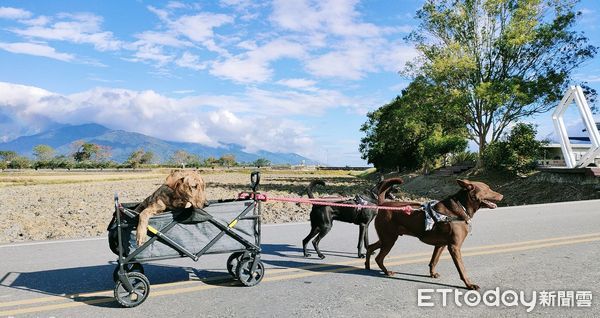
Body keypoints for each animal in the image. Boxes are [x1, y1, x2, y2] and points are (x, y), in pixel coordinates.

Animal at [366, 178, 502, 290]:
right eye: (488, 188)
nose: (501, 195)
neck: (461, 206)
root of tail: (383, 204)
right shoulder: (454, 247)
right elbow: (462, 269)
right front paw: (469, 284)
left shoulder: (441, 244)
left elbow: (433, 261)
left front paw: (432, 274)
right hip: (389, 239)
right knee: (378, 258)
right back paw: (386, 272)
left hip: (386, 238)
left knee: (370, 247)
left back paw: (367, 266)